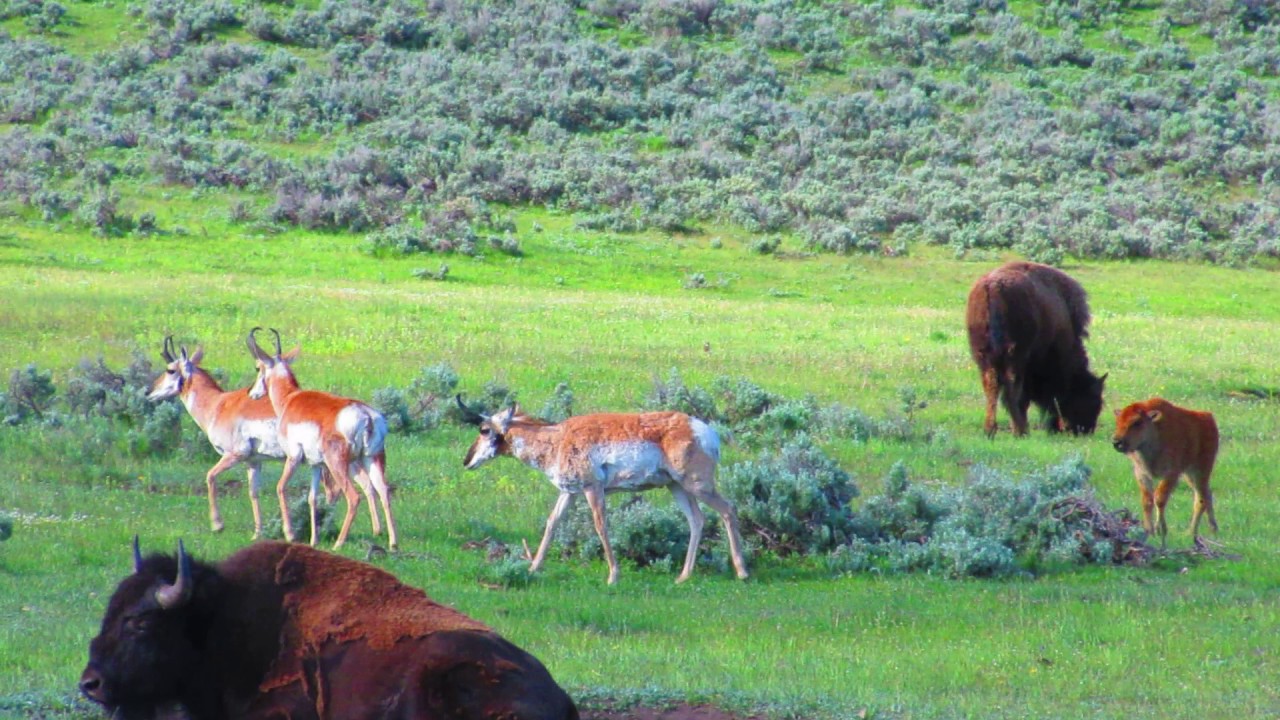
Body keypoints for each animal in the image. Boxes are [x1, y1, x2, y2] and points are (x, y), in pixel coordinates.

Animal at [965, 261, 1107, 437]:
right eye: (1093, 400)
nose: (1086, 430)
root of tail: (992, 287)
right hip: (1015, 356)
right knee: (1012, 387)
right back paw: (1019, 431)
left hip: (984, 355)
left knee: (991, 384)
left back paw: (990, 431)